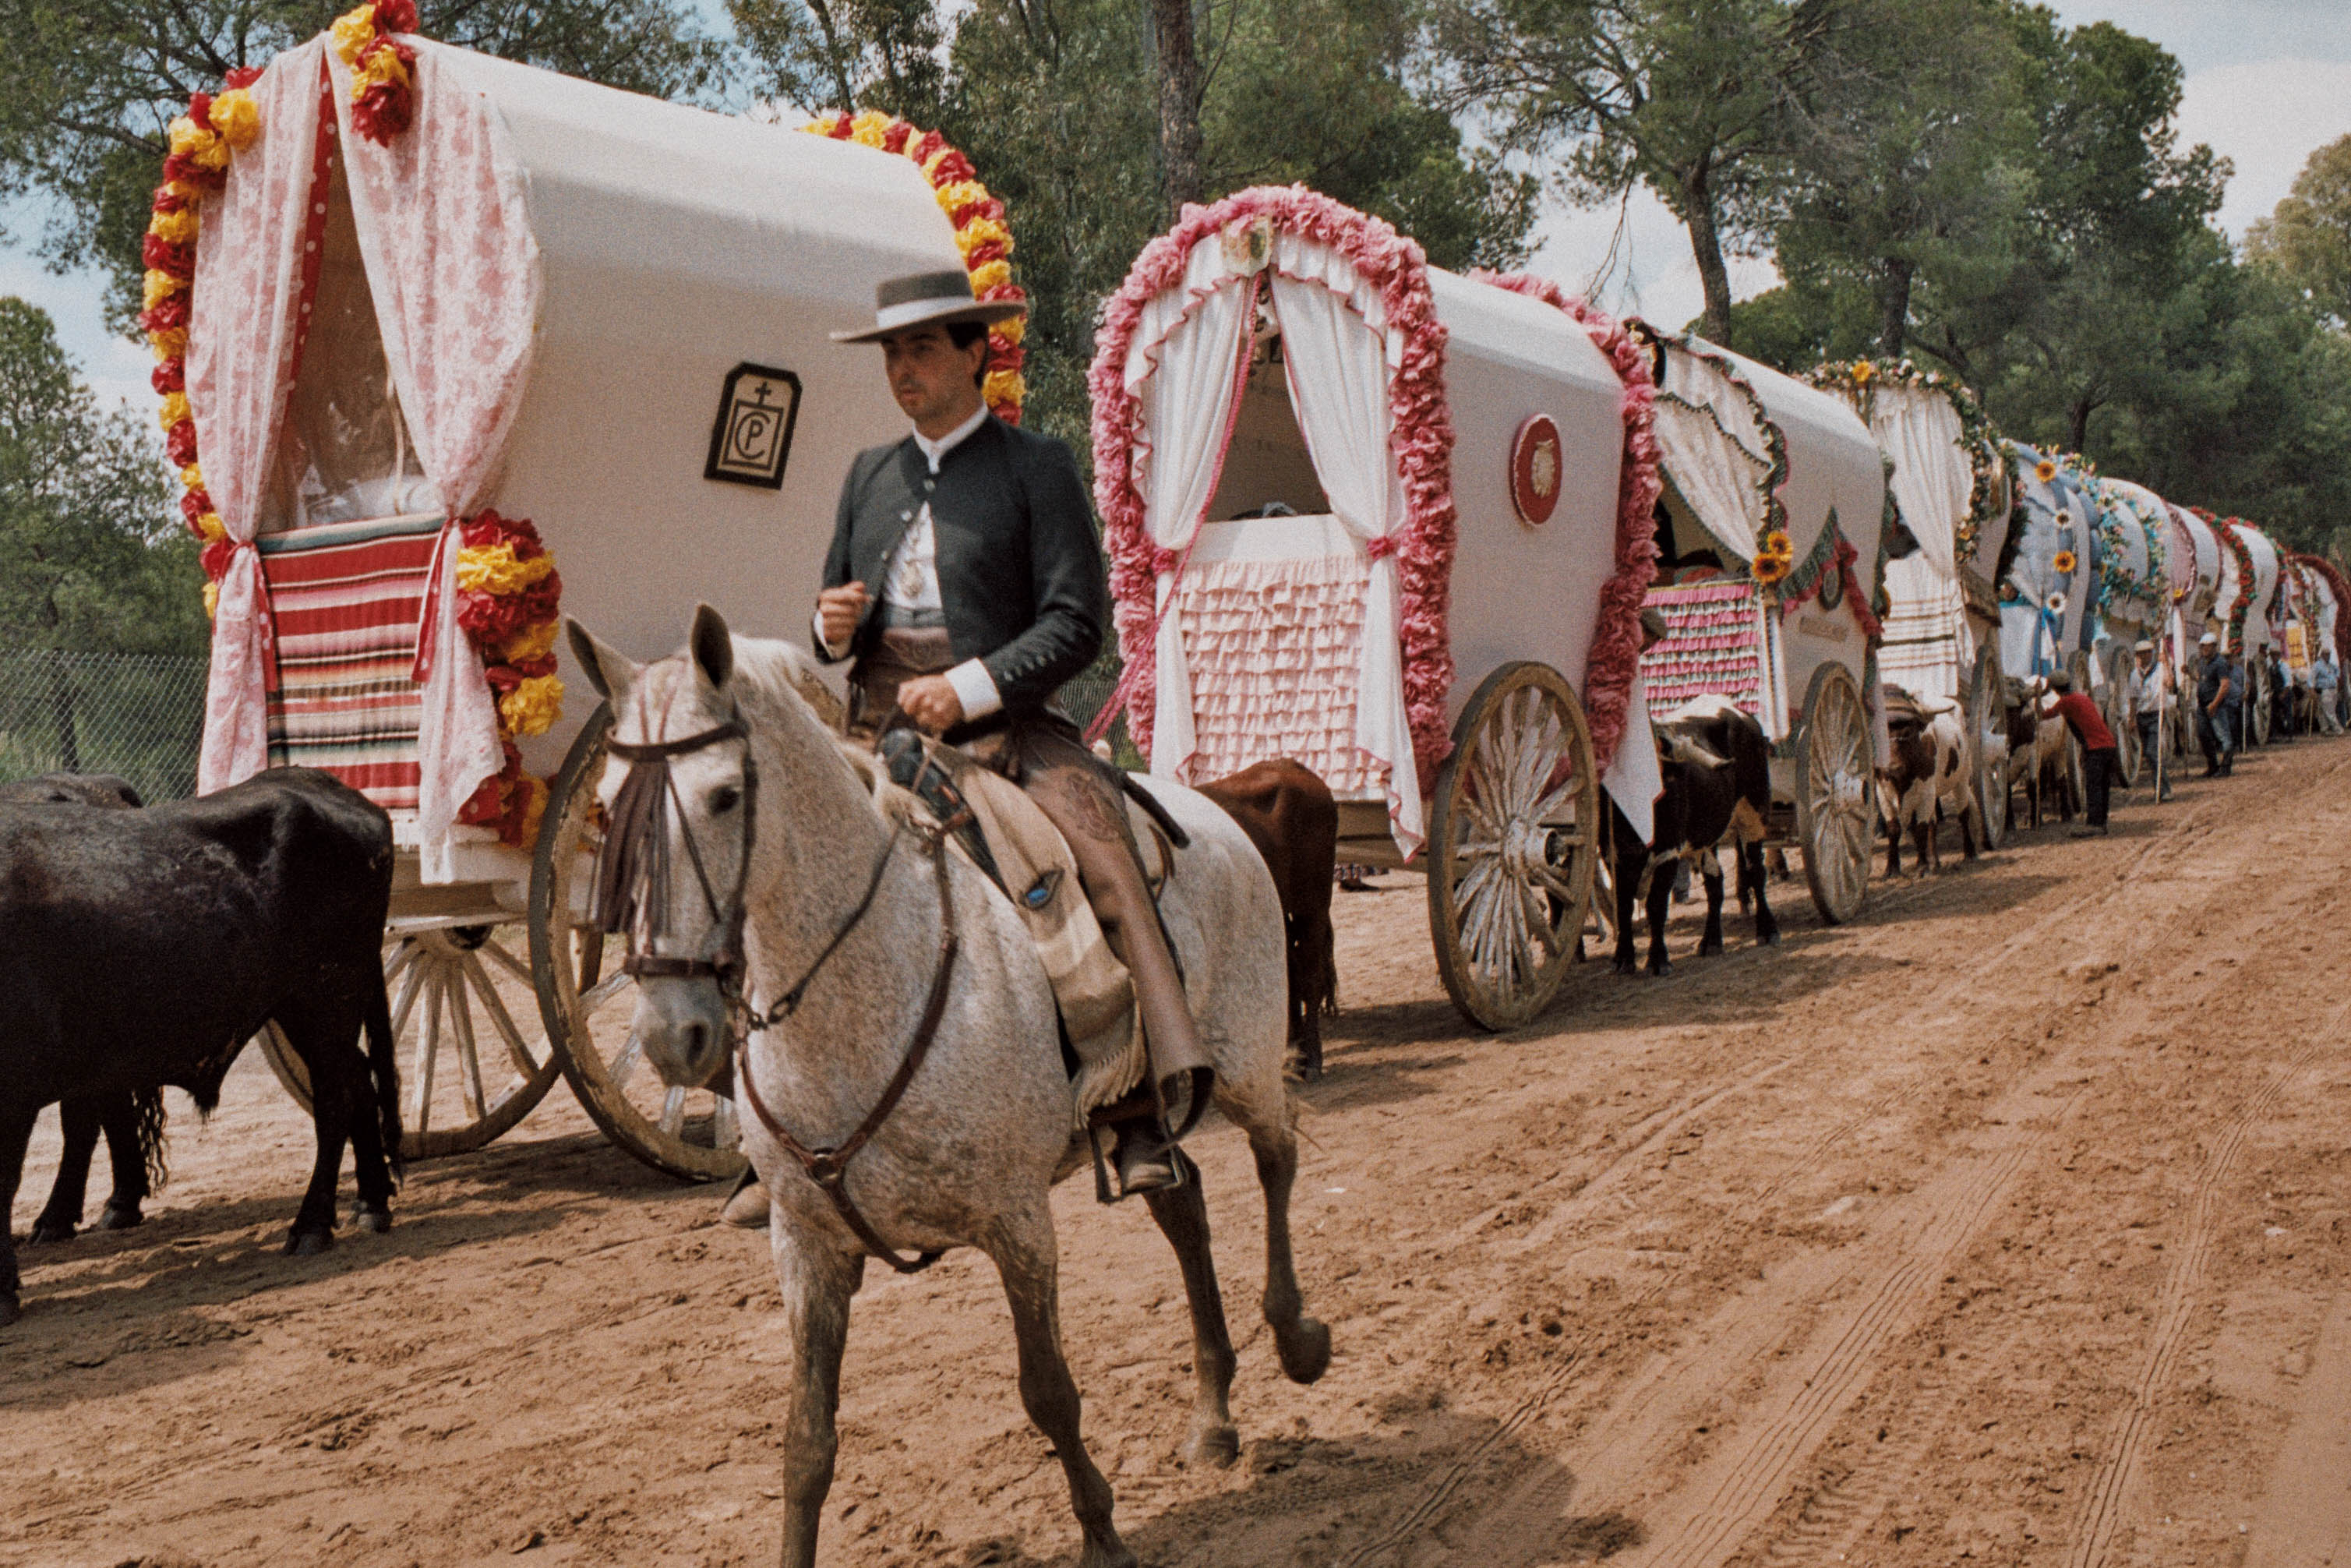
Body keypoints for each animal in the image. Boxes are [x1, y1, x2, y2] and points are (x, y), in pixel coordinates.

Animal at [569, 611, 1335, 1568]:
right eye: (604, 804)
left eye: (722, 796)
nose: (674, 1034)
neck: (868, 991)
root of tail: (1218, 811)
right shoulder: (807, 1251)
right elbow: (806, 1442)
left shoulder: (1017, 1226)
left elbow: (1048, 1392)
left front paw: (1103, 1537)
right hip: (1152, 1108)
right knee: (1182, 1201)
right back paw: (1213, 1415)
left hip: (1244, 1060)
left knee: (1276, 1158)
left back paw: (1296, 1336)